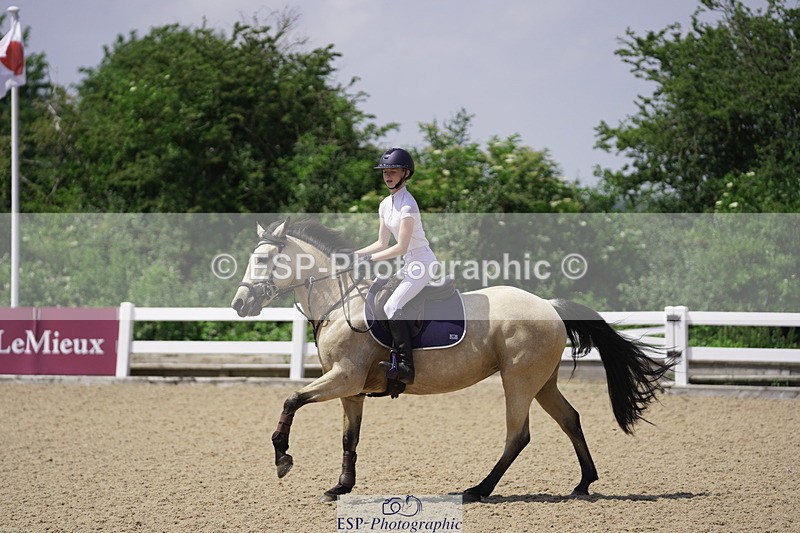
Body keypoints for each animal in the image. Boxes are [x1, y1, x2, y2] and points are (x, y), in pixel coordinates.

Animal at [230, 218, 673, 503]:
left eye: (265, 261)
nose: (240, 304)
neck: (342, 303)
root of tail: (548, 305)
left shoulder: (343, 378)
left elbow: (291, 400)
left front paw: (283, 458)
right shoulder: (350, 389)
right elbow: (348, 438)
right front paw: (341, 486)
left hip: (518, 381)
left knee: (518, 435)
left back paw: (479, 490)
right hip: (541, 382)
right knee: (570, 419)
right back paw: (583, 484)